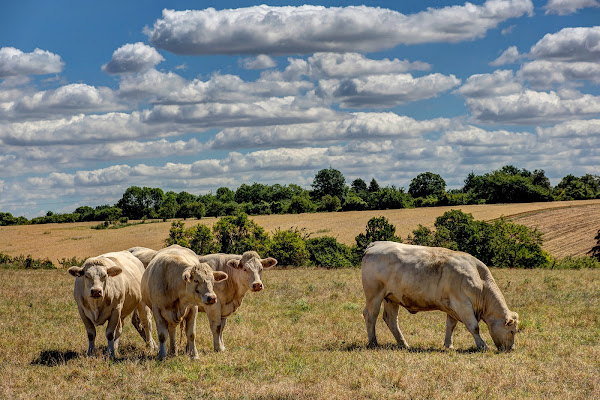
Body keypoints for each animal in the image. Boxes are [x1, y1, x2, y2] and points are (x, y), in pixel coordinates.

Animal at [360, 241, 520, 350]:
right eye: (512, 331)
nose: (511, 349)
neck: (480, 281)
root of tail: (375, 244)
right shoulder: (462, 304)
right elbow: (474, 327)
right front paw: (483, 346)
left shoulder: (453, 307)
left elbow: (450, 326)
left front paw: (449, 345)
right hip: (374, 294)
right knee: (370, 316)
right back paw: (373, 342)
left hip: (391, 298)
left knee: (391, 319)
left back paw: (403, 343)